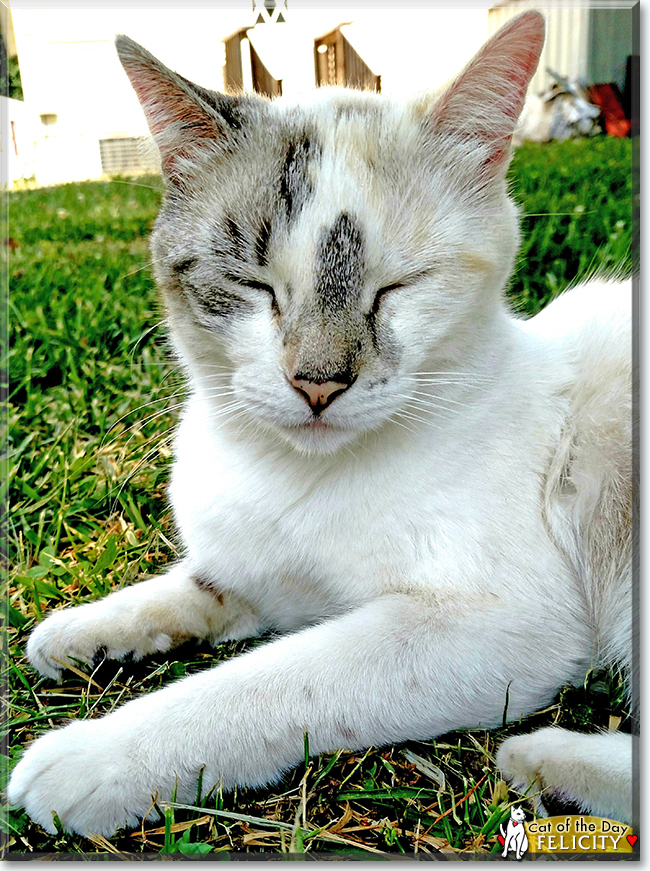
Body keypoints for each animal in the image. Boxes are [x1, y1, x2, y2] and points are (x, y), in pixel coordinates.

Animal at [7, 8, 632, 836]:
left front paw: (97, 755)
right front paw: (85, 629)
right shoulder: (262, 576)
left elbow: (270, 680)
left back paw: (550, 761)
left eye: (398, 287)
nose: (318, 383)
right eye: (253, 285)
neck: (288, 474)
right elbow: (199, 585)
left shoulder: (497, 624)